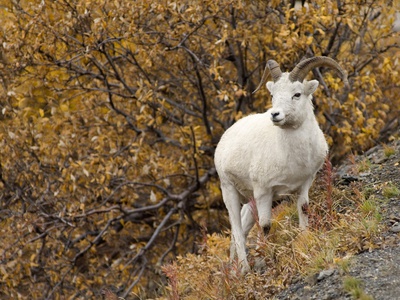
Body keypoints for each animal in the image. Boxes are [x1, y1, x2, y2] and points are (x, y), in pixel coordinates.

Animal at [214, 55, 348, 272]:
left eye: (297, 94)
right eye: (273, 95)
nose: (275, 115)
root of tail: (225, 138)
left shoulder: (304, 184)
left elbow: (303, 210)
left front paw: (305, 240)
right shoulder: (263, 192)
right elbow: (266, 226)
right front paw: (267, 259)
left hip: (250, 200)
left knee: (242, 226)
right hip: (229, 191)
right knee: (237, 230)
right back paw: (244, 269)